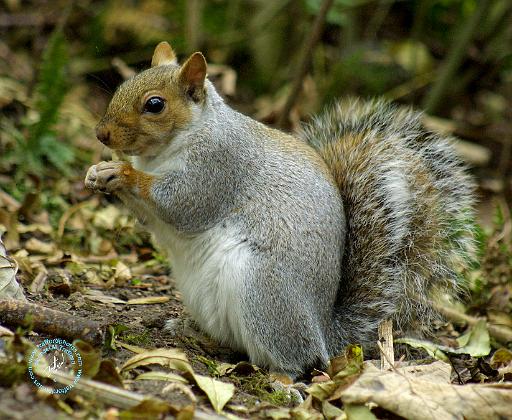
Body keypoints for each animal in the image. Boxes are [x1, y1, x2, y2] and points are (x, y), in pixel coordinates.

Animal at [85, 41, 476, 376]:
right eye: (123, 85)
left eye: (155, 105)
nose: (102, 135)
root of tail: (323, 330)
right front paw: (99, 172)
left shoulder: (217, 167)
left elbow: (182, 205)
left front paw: (122, 172)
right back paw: (191, 331)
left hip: (265, 292)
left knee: (296, 358)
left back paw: (281, 379)